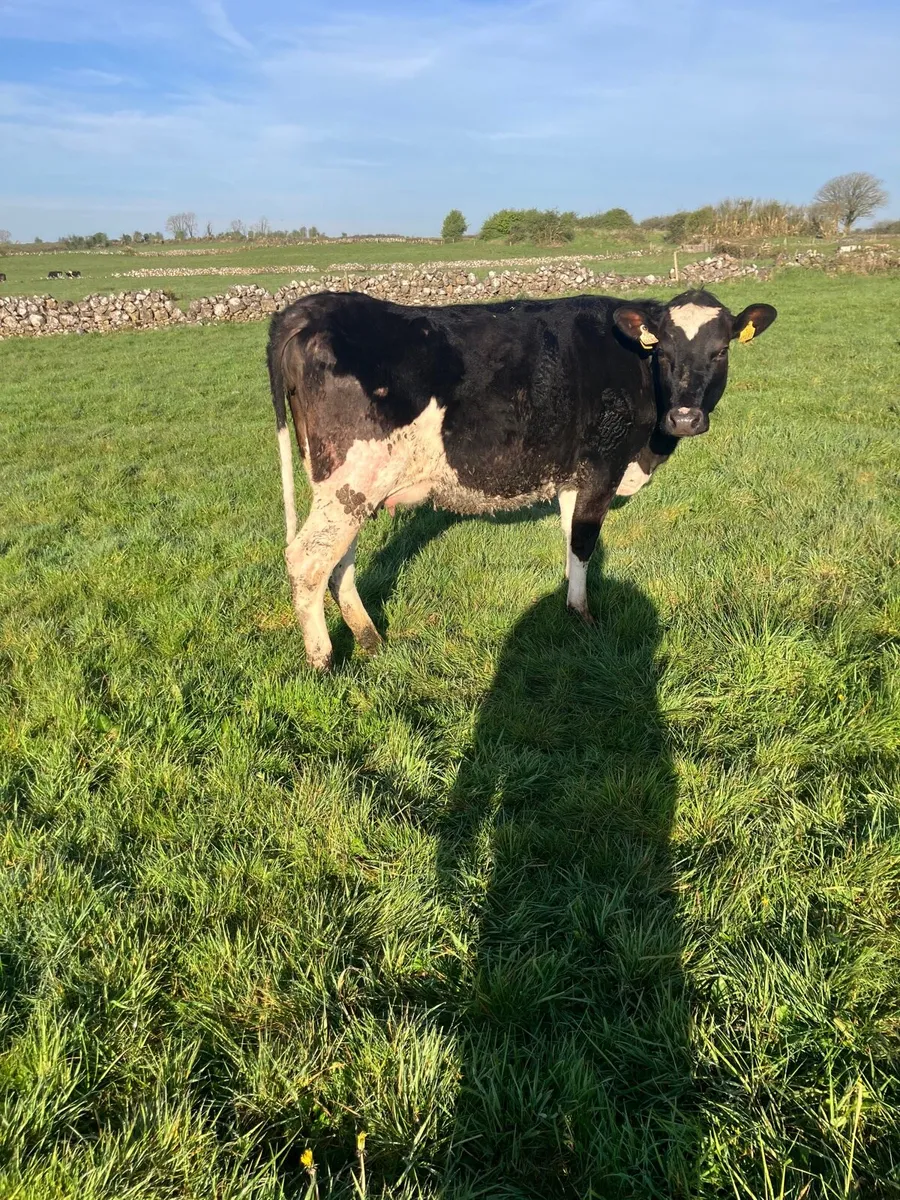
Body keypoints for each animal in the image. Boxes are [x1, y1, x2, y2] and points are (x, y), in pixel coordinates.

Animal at [268, 288, 776, 669]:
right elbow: (585, 543)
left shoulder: (572, 477)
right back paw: (323, 662)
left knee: (339, 560)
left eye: (720, 351)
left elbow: (571, 539)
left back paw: (369, 638)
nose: (685, 418)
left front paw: (567, 605)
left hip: (347, 487)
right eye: (663, 352)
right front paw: (583, 617)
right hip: (352, 480)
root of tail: (308, 307)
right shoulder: (603, 466)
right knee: (308, 560)